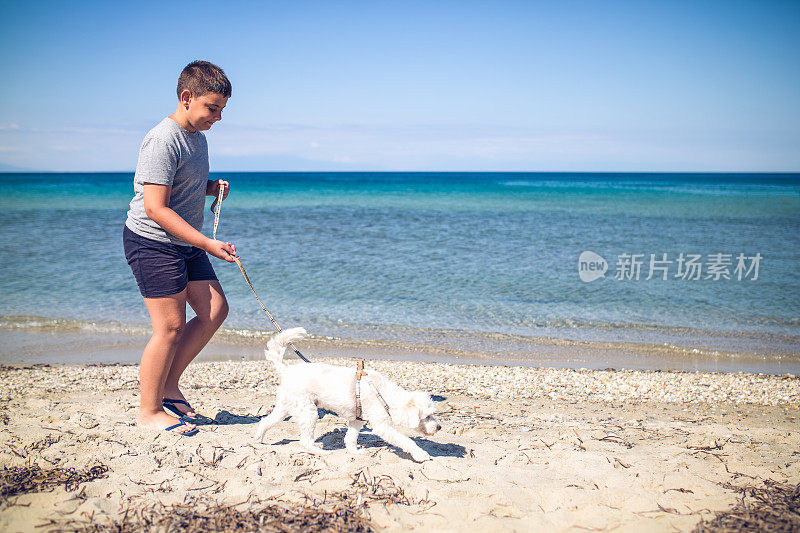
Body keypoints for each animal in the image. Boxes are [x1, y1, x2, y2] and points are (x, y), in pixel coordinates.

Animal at [253, 326, 440, 460]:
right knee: (305, 441)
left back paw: (258, 440)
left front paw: (355, 452)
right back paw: (320, 451)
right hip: (308, 412)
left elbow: (350, 438)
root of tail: (286, 371)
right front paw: (421, 454)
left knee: (265, 421)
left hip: (285, 407)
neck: (386, 395)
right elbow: (406, 440)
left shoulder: (357, 420)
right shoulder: (382, 426)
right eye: (427, 416)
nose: (439, 427)